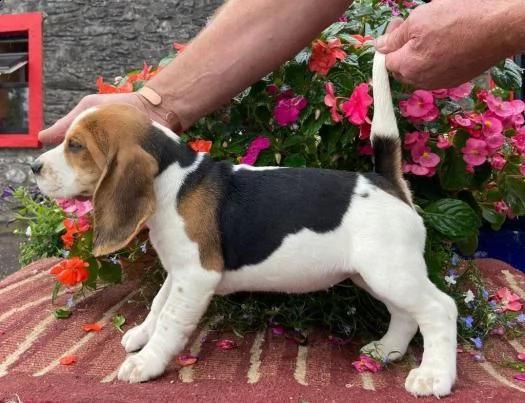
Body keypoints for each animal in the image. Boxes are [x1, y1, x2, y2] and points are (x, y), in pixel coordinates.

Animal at [32, 52, 456, 398]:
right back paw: (388, 350)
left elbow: (170, 320)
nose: (34, 167)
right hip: (373, 274)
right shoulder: (180, 270)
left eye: (76, 146)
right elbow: (158, 302)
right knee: (406, 314)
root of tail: (386, 182)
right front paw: (141, 334)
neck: (173, 181)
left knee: (440, 309)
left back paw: (434, 376)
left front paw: (147, 361)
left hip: (390, 272)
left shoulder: (197, 275)